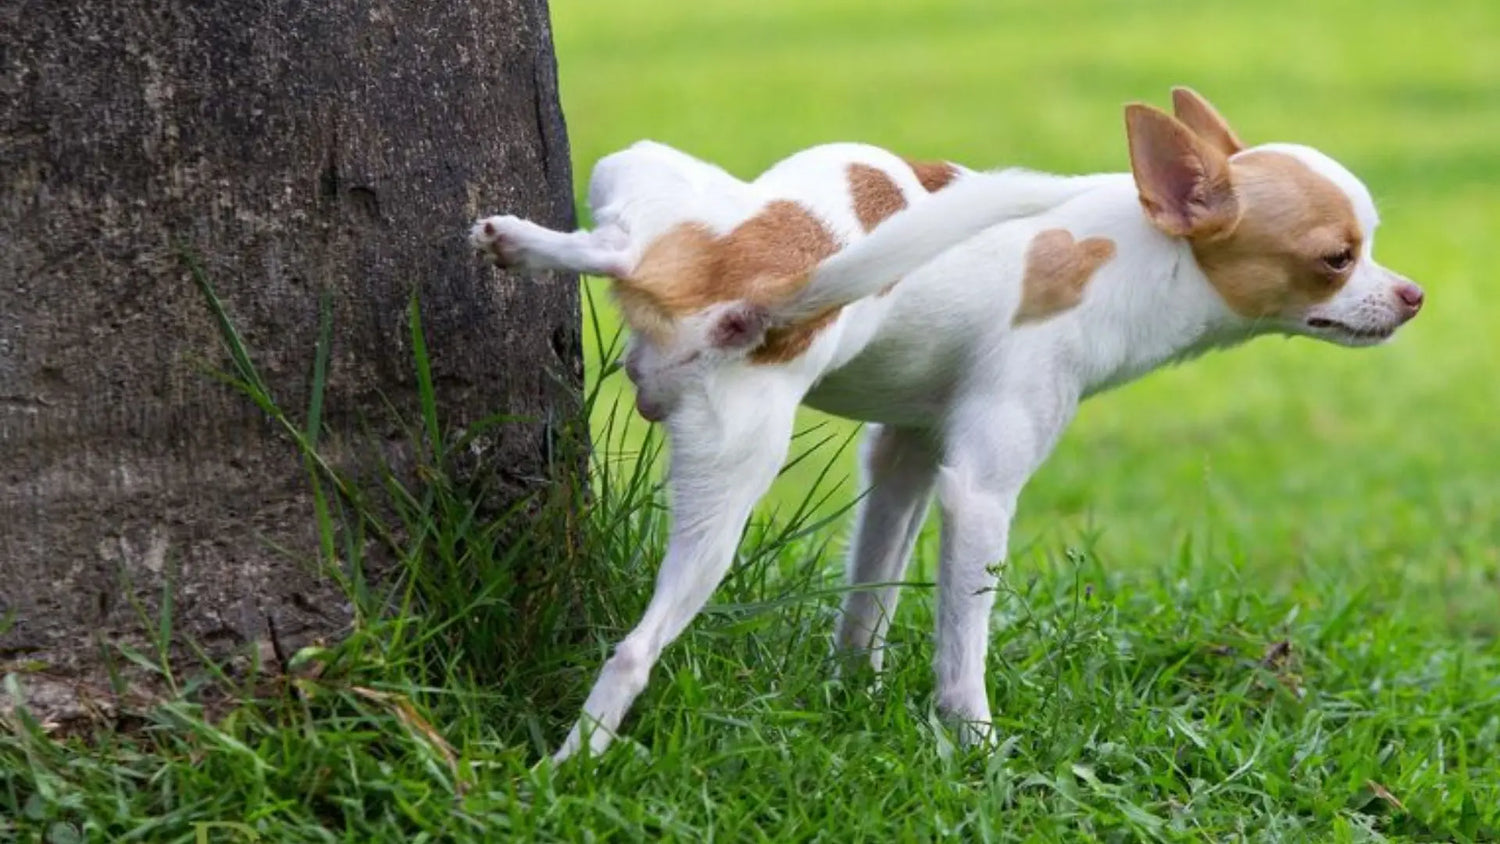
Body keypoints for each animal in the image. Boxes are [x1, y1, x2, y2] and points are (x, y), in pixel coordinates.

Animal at [474, 89, 1422, 761]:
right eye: (1337, 259)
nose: (1413, 295)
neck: (1138, 250)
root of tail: (759, 292)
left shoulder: (905, 458)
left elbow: (870, 597)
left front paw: (851, 695)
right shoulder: (979, 493)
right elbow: (962, 649)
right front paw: (976, 751)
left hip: (660, 240)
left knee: (623, 247)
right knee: (635, 649)